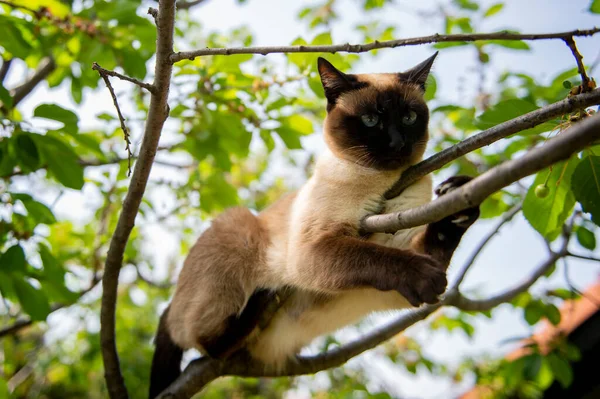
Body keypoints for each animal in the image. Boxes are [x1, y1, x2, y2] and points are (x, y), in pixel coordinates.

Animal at [149, 54, 478, 399]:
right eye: (370, 120)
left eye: (409, 117)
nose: (396, 142)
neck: (381, 184)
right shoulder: (316, 248)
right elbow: (380, 257)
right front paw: (425, 273)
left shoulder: (399, 256)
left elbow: (421, 249)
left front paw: (457, 199)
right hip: (236, 225)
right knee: (203, 342)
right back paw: (258, 303)